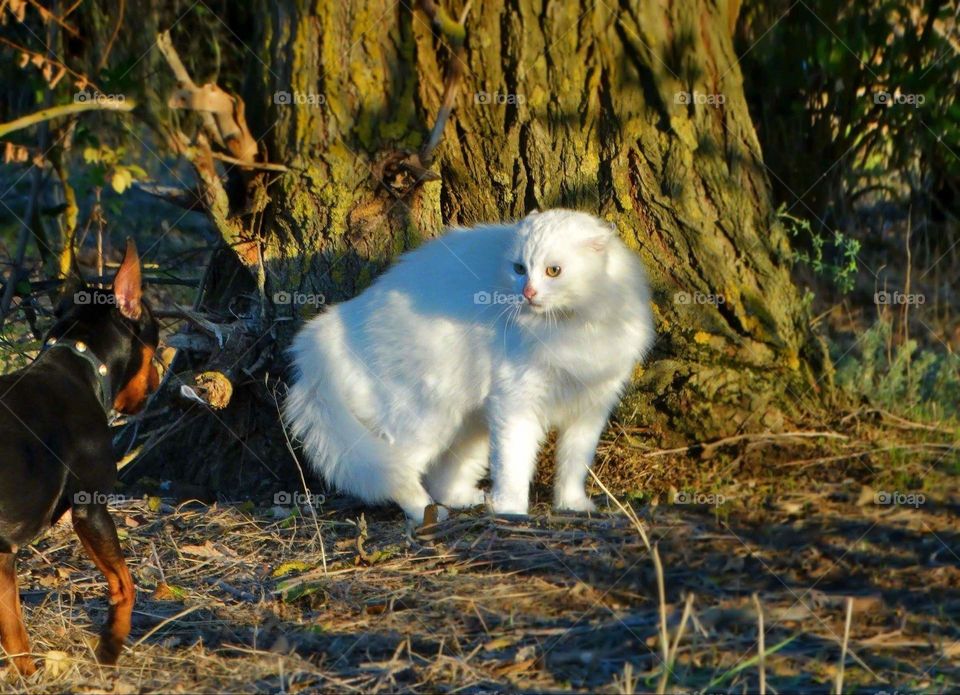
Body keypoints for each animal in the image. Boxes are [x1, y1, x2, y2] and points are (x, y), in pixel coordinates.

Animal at [0, 242, 159, 676]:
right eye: (156, 334)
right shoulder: (91, 510)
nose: (158, 383)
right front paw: (109, 648)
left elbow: (12, 630)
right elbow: (125, 586)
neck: (81, 363)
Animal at [284, 211, 656, 520]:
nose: (528, 292)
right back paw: (428, 514)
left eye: (554, 271)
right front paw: (511, 511)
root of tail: (338, 320)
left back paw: (464, 500)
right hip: (427, 416)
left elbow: (573, 465)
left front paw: (572, 505)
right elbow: (513, 464)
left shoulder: (590, 408)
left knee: (442, 477)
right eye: (519, 269)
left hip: (469, 423)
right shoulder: (516, 402)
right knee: (400, 474)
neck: (572, 326)